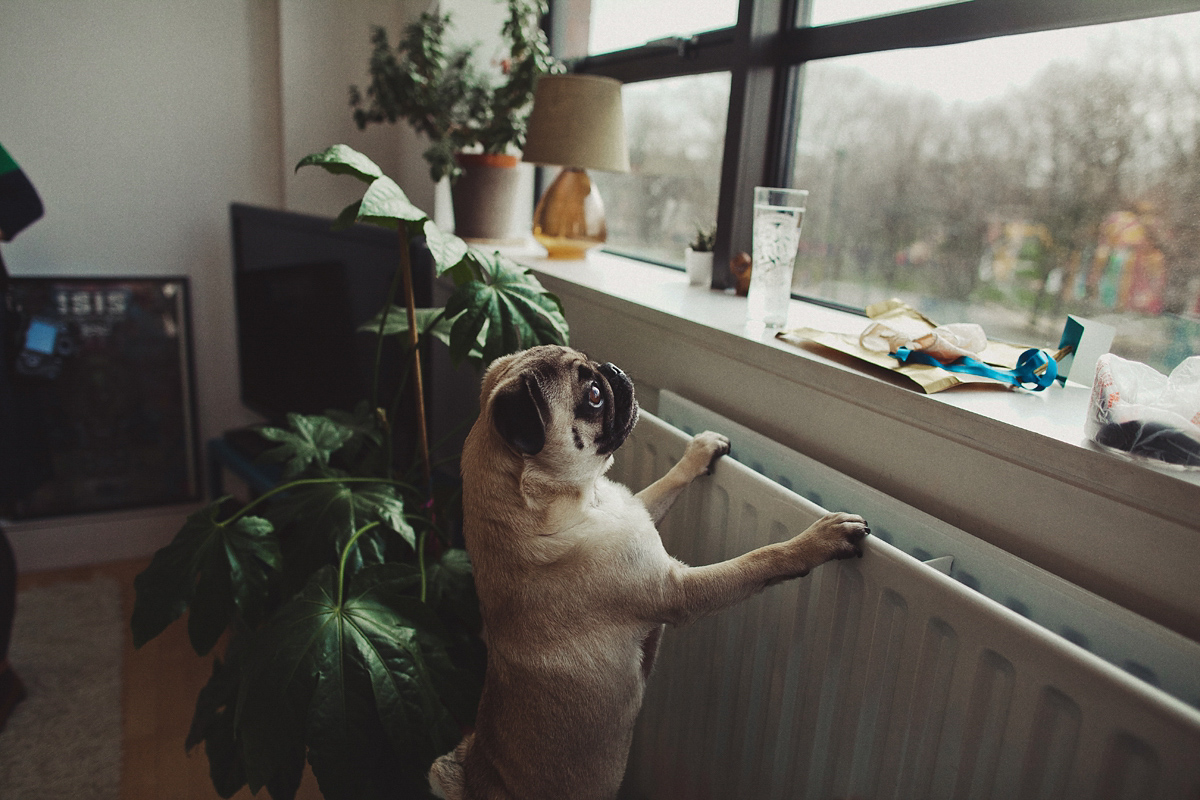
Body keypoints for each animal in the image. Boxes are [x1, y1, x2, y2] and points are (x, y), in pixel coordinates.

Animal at [432, 345, 873, 800]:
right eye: (594, 396)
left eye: (598, 371)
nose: (613, 371)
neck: (576, 502)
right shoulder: (678, 590)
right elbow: (759, 559)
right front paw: (817, 539)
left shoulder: (637, 511)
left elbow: (665, 483)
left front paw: (699, 451)